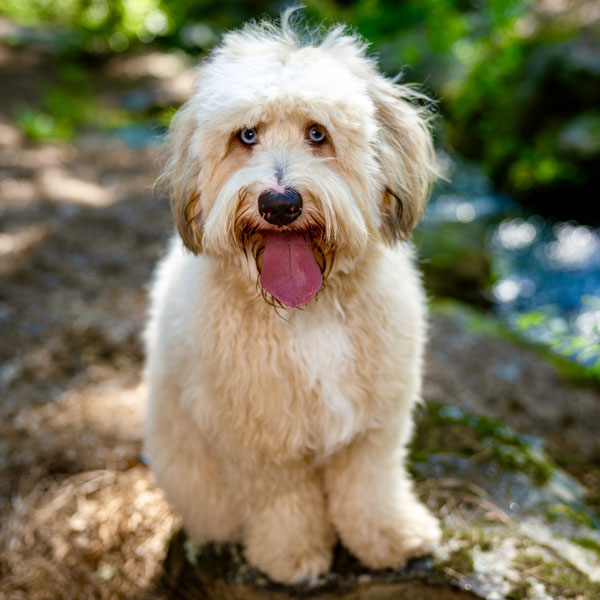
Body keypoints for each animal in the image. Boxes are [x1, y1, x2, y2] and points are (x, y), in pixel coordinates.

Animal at [144, 11, 440, 584]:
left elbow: (370, 486)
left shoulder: (374, 423)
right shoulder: (259, 440)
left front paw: (390, 537)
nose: (279, 204)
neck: (308, 311)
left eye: (317, 133)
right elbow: (282, 503)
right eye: (247, 135)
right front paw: (294, 557)